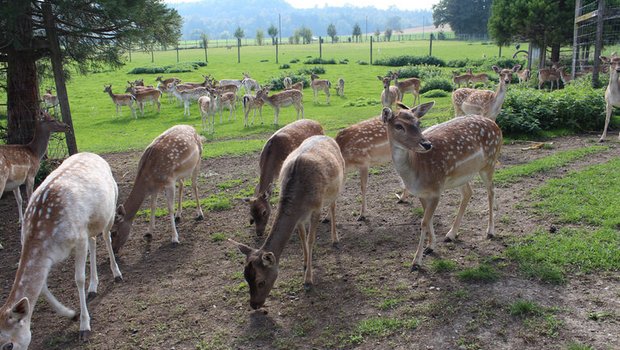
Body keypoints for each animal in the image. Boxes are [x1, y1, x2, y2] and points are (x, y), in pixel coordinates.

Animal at [112, 124, 206, 253]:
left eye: (114, 232)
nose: (114, 250)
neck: (149, 177)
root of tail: (194, 129)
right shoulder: (155, 187)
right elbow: (153, 206)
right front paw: (149, 232)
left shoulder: (169, 182)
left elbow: (170, 208)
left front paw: (175, 238)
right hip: (179, 173)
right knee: (182, 184)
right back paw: (178, 214)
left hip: (198, 160)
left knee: (194, 185)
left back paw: (200, 213)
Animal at [231, 135, 346, 308]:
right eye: (246, 278)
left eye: (261, 282)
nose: (254, 305)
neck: (300, 198)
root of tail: (327, 136)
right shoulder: (299, 218)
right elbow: (302, 238)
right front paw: (304, 263)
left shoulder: (316, 209)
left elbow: (311, 240)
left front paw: (308, 280)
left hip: (337, 186)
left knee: (333, 206)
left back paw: (335, 239)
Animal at [382, 100, 504, 270]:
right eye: (398, 126)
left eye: (418, 123)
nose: (426, 144)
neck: (416, 171)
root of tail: (495, 124)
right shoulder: (422, 193)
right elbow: (428, 219)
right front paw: (430, 246)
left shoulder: (436, 189)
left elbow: (424, 222)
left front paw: (416, 261)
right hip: (461, 176)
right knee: (468, 192)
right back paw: (451, 234)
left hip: (489, 162)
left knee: (491, 191)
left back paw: (490, 231)